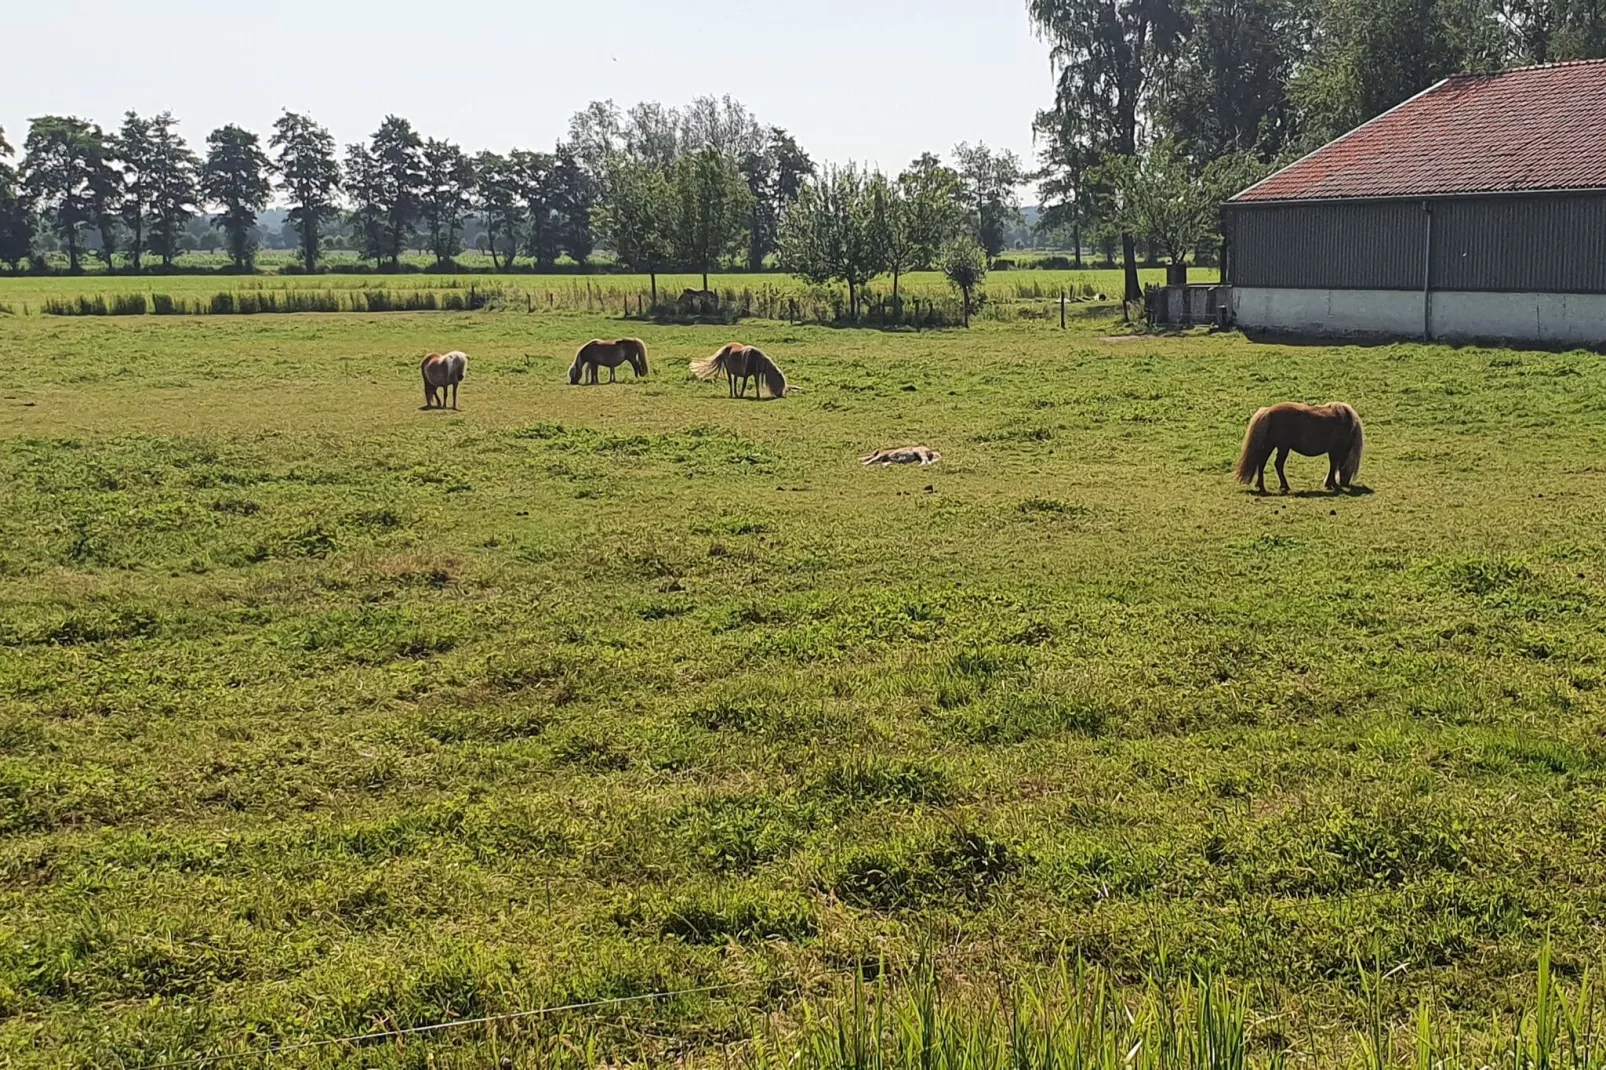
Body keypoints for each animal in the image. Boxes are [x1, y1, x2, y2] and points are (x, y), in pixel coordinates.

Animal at [1233, 401, 1361, 494]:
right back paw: (1282, 487)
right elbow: (1334, 465)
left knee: (1263, 463)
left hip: (1273, 446)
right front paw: (1331, 484)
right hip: (1281, 447)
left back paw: (1263, 487)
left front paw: (1330, 484)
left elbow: (1333, 465)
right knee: (1275, 464)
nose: (1345, 483)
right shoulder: (1335, 450)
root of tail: (1268, 411)